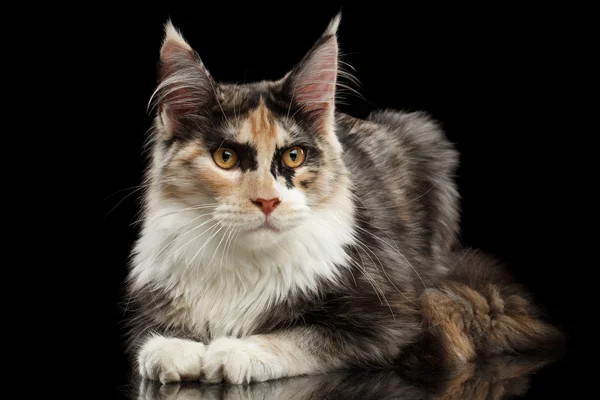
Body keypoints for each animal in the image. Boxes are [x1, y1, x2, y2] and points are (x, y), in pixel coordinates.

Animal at [125, 14, 564, 386]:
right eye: (226, 158)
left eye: (294, 156)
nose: (267, 202)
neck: (246, 262)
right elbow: (156, 337)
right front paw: (175, 348)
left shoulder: (387, 319)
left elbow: (301, 337)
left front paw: (236, 352)